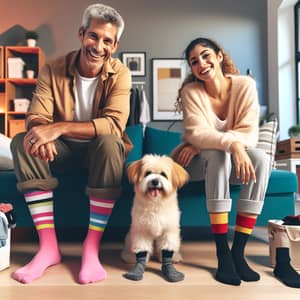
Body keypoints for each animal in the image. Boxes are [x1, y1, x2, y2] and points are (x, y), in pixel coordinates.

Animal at [121, 154, 188, 282]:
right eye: (148, 173)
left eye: (163, 174)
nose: (155, 181)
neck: (156, 203)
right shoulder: (141, 231)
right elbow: (142, 249)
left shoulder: (169, 231)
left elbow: (168, 248)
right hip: (129, 236)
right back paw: (129, 256)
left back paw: (174, 257)